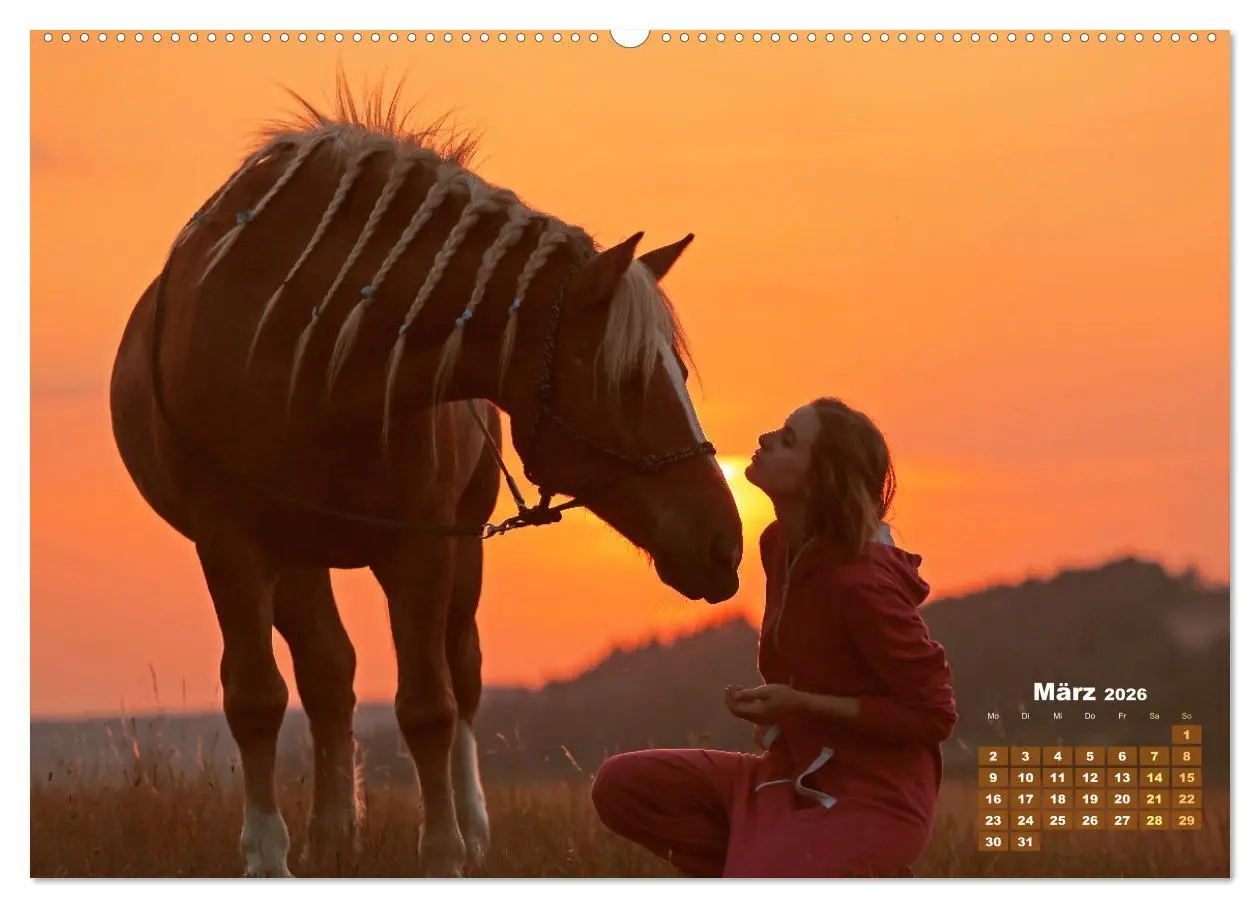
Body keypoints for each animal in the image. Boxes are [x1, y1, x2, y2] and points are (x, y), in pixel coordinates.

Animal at [108, 81, 743, 877]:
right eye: (628, 382)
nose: (726, 546)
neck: (298, 349)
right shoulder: (233, 543)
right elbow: (257, 697)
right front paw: (267, 857)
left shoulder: (422, 543)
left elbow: (429, 704)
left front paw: (445, 853)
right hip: (297, 557)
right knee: (328, 673)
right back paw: (332, 834)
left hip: (458, 549)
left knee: (458, 674)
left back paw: (465, 829)